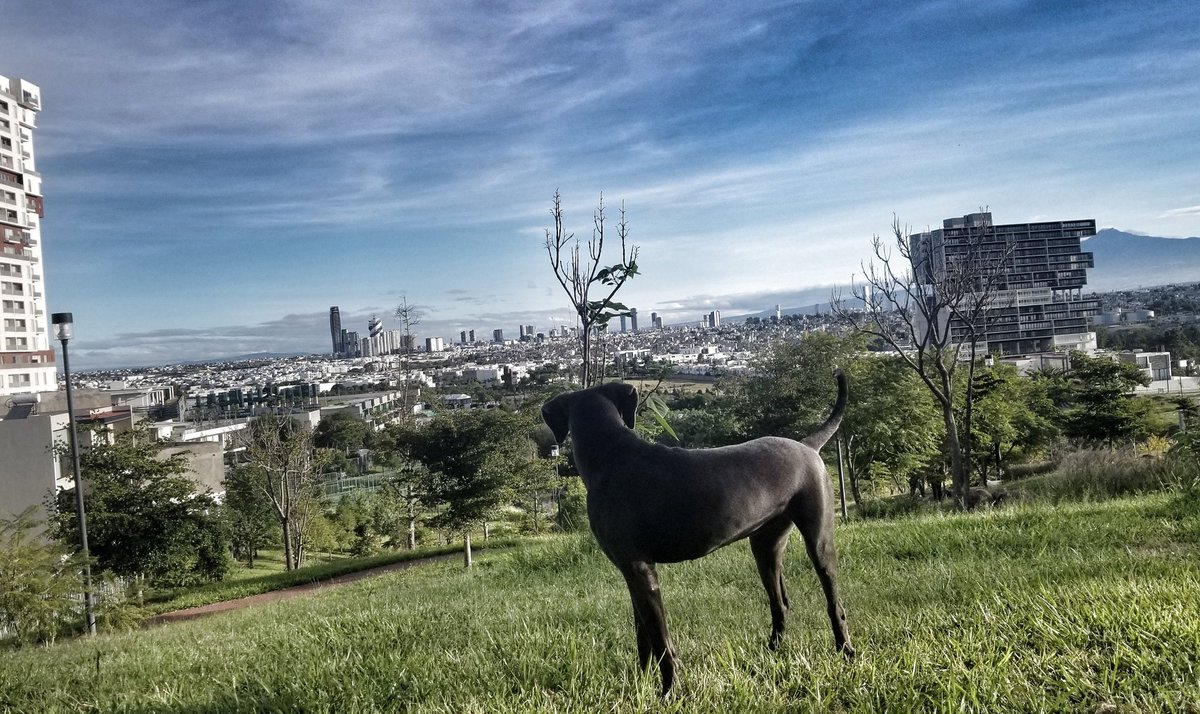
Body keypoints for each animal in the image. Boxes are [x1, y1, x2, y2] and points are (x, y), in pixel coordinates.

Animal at [544, 372, 854, 696]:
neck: (611, 456)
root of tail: (807, 445)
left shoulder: (641, 570)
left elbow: (662, 641)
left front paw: (669, 692)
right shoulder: (631, 572)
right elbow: (643, 637)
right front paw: (641, 684)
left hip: (818, 541)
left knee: (835, 603)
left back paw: (845, 650)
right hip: (765, 546)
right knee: (780, 603)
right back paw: (773, 651)